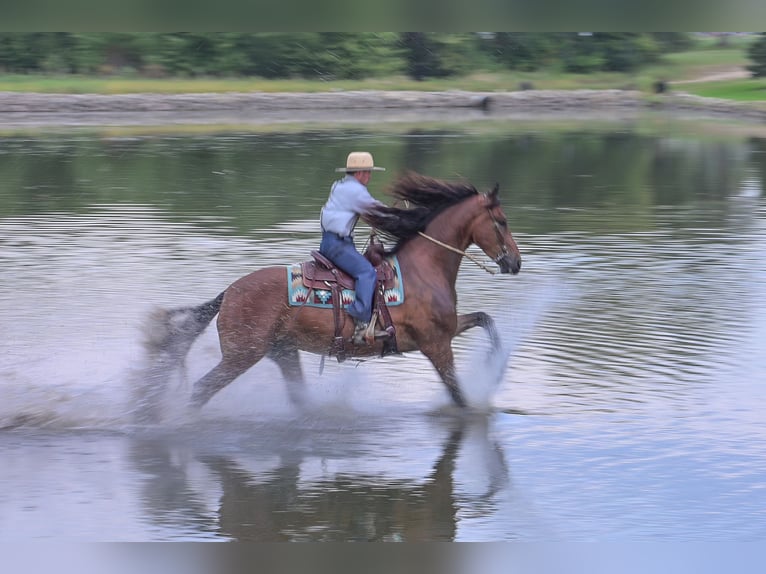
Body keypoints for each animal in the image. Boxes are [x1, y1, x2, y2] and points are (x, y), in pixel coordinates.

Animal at [138, 172, 521, 415]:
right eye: (501, 221)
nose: (515, 263)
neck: (422, 271)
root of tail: (228, 294)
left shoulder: (445, 331)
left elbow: (485, 319)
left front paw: (496, 363)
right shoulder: (436, 345)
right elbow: (459, 397)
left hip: (283, 352)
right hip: (241, 356)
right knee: (201, 390)